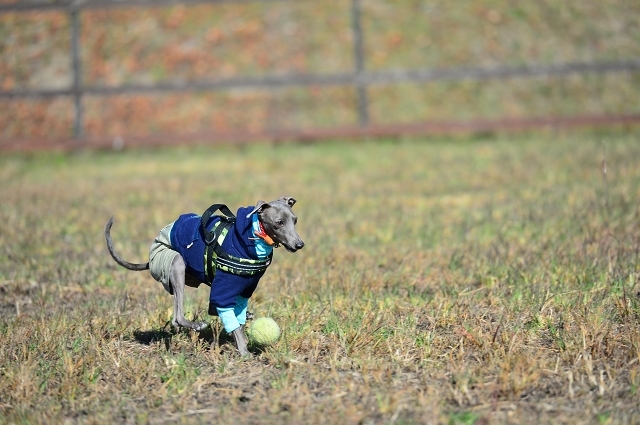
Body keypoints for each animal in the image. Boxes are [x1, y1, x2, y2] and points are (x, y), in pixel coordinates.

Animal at [105, 197, 304, 356]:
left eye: (295, 220)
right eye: (279, 223)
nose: (299, 244)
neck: (253, 236)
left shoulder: (245, 290)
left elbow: (237, 319)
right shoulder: (224, 289)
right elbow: (234, 324)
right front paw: (245, 353)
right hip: (176, 263)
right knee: (177, 317)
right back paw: (197, 325)